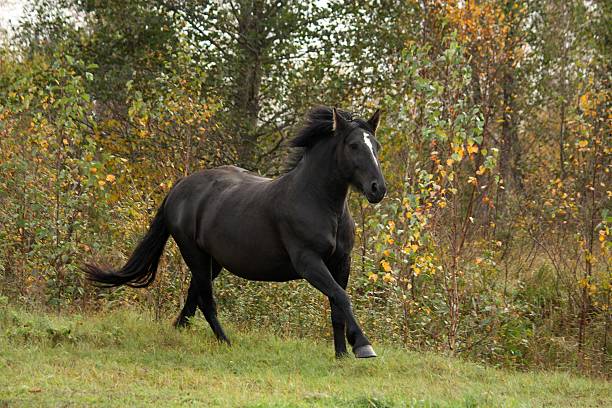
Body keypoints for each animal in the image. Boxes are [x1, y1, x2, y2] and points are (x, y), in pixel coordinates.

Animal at [85, 106, 388, 356]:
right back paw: (225, 342)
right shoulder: (308, 261)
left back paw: (180, 332)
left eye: (376, 146)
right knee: (206, 300)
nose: (378, 189)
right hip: (194, 254)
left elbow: (337, 306)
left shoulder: (341, 261)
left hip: (213, 261)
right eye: (353, 146)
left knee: (194, 296)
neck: (318, 202)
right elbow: (341, 297)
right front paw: (363, 346)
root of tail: (180, 186)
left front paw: (342, 354)